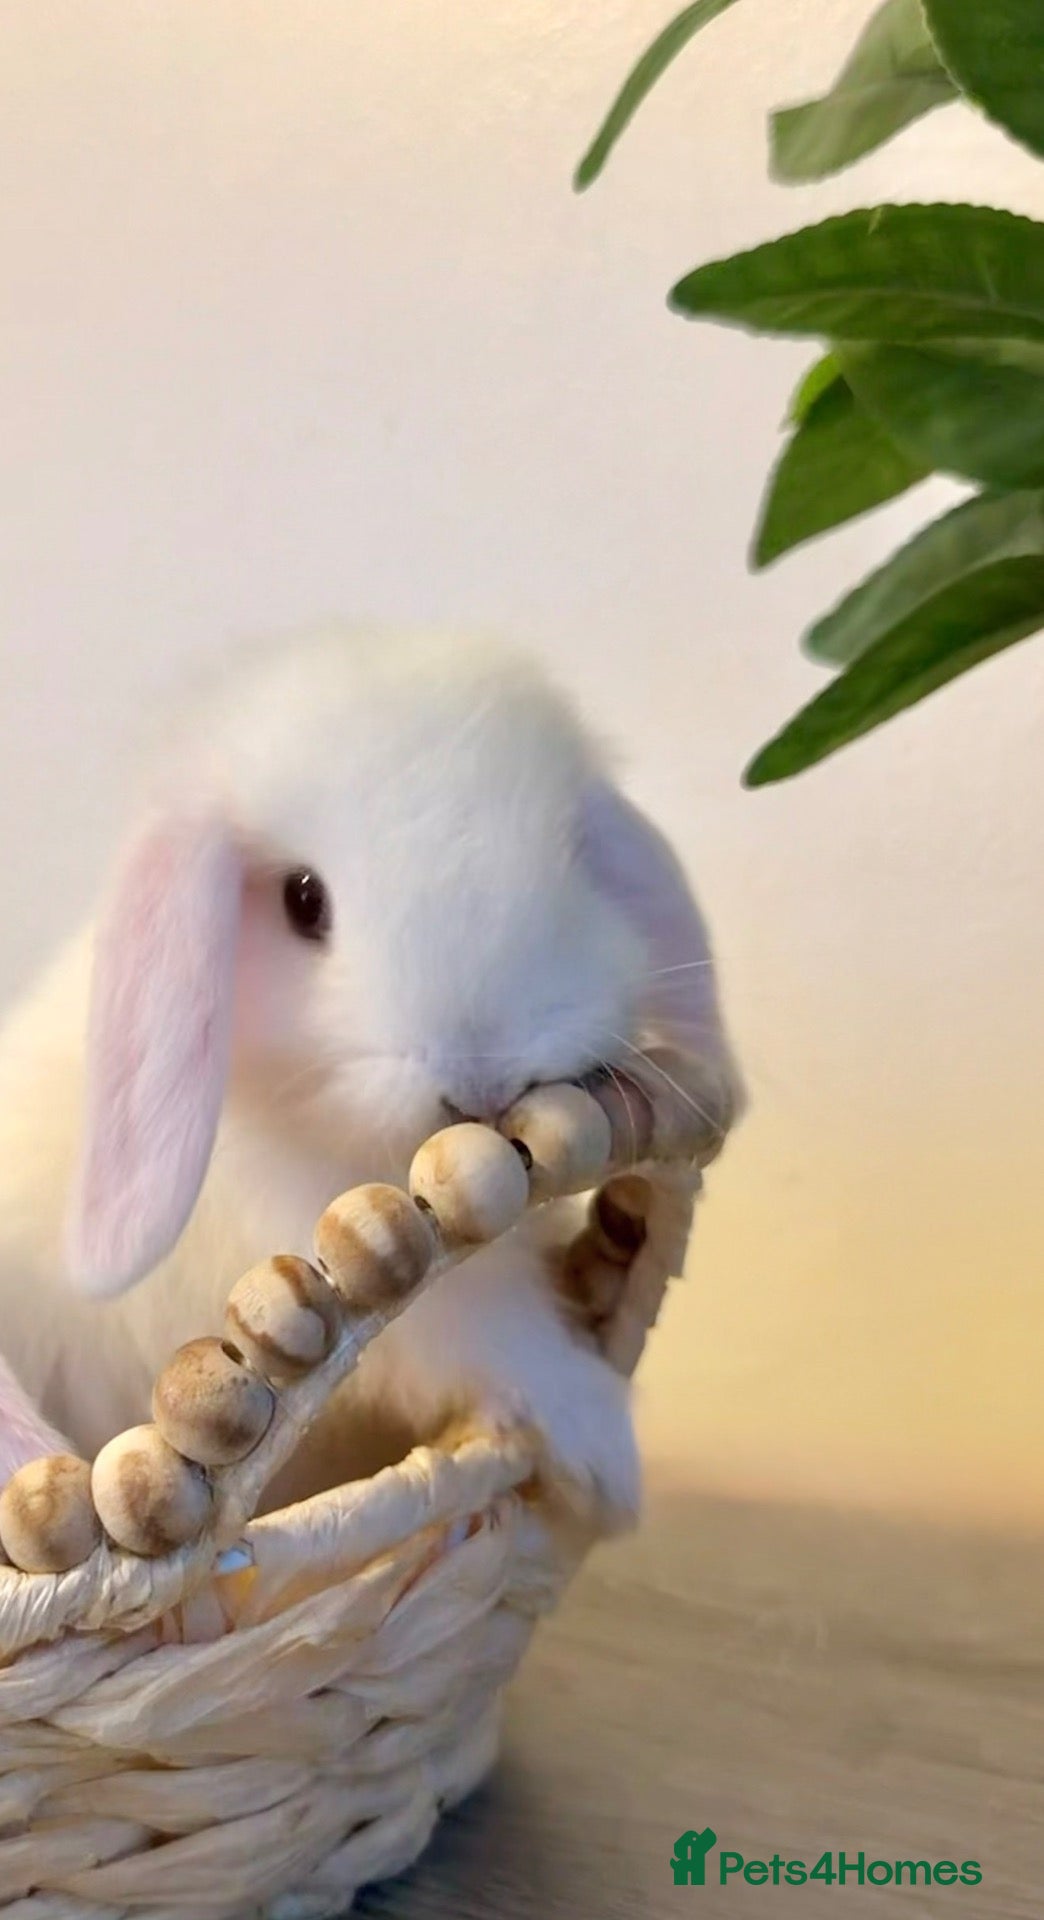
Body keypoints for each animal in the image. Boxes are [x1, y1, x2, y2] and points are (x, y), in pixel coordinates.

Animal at [0, 627, 740, 1527]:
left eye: (573, 857)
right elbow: (504, 1340)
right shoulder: (417, 1299)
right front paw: (607, 1465)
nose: (484, 1081)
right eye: (303, 899)